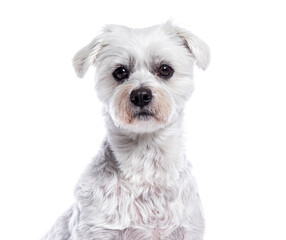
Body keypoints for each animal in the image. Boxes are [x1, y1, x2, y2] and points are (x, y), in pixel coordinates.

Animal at [43, 21, 210, 239]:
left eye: (165, 69)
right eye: (120, 72)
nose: (140, 95)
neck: (146, 161)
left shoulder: (186, 229)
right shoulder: (95, 229)